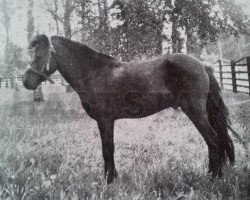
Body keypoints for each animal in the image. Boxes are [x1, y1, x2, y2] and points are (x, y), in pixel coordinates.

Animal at [23, 34, 234, 183]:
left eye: (39, 56)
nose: (26, 81)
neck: (94, 73)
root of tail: (202, 65)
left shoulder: (105, 120)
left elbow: (107, 149)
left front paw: (108, 181)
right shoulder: (108, 121)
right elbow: (110, 149)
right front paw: (113, 177)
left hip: (195, 111)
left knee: (213, 140)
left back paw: (212, 177)